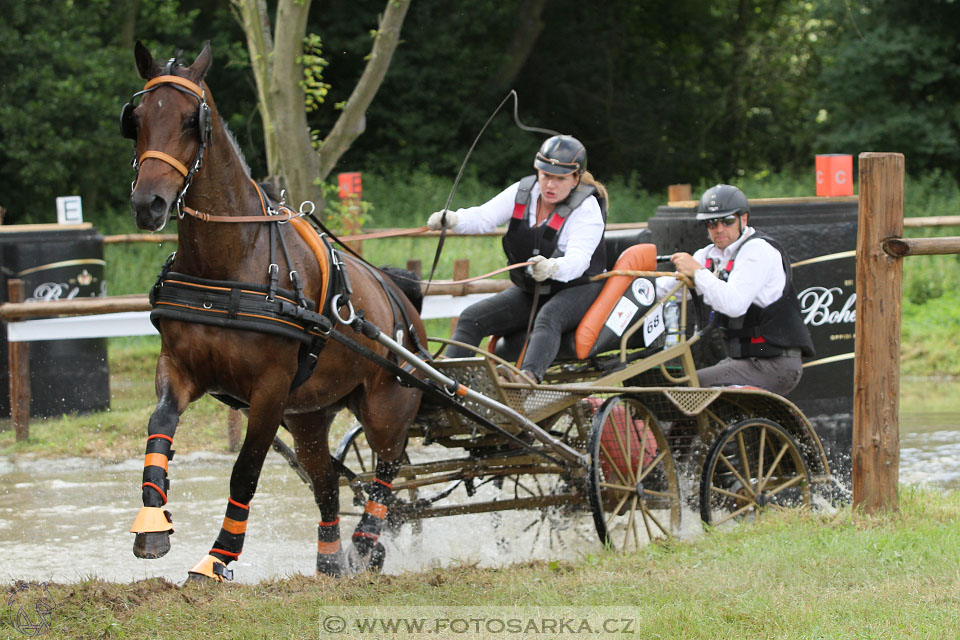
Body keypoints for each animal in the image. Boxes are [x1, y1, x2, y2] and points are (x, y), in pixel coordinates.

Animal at [124, 40, 424, 580]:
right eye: (135, 120)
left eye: (191, 120)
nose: (148, 204)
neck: (229, 264)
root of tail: (402, 299)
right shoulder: (179, 368)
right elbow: (159, 429)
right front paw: (152, 526)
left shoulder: (268, 390)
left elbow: (245, 472)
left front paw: (218, 558)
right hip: (310, 416)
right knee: (327, 484)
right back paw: (331, 560)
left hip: (387, 407)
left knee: (385, 476)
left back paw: (366, 548)